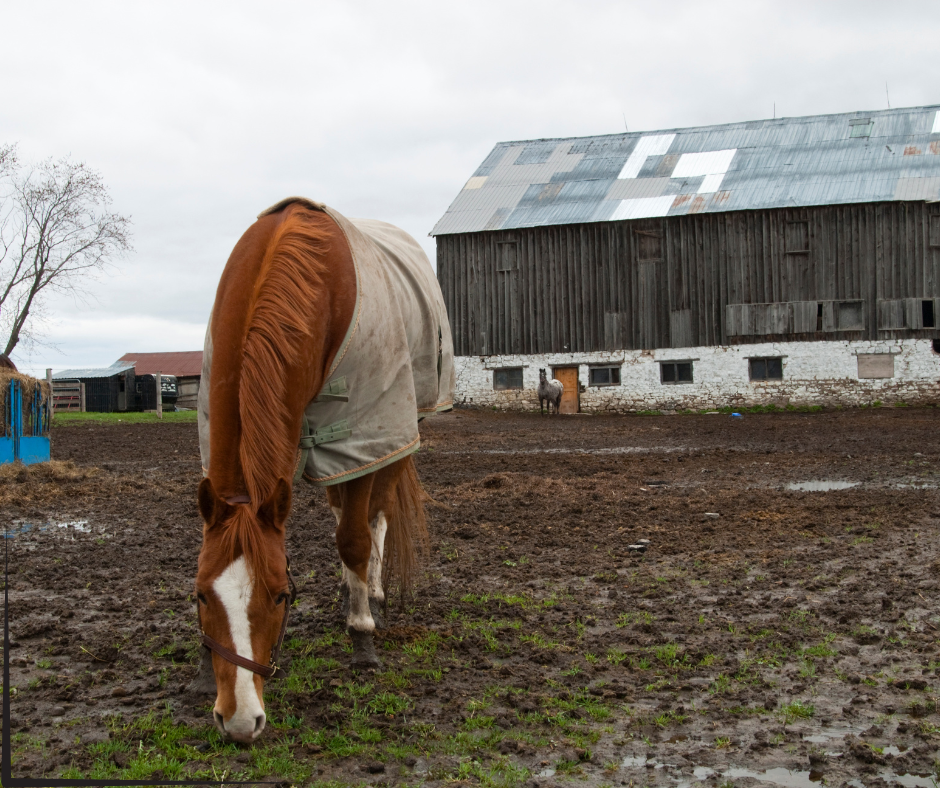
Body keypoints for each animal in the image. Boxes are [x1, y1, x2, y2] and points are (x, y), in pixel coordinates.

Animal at [194, 195, 456, 740]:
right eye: (202, 596)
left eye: (279, 597)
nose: (239, 721)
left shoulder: (362, 436)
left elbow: (355, 538)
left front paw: (363, 638)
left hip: (395, 437)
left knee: (376, 516)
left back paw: (371, 594)